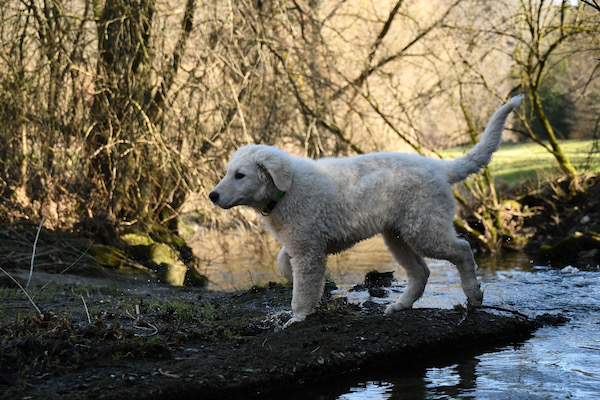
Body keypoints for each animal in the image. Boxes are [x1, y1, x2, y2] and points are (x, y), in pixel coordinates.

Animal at [213, 95, 524, 326]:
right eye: (227, 172)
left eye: (240, 175)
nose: (212, 195)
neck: (287, 189)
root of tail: (438, 167)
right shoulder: (301, 242)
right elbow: (283, 261)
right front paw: (289, 276)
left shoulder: (308, 250)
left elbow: (302, 290)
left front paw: (296, 317)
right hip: (397, 234)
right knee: (421, 271)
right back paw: (400, 306)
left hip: (423, 227)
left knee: (462, 249)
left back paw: (473, 295)